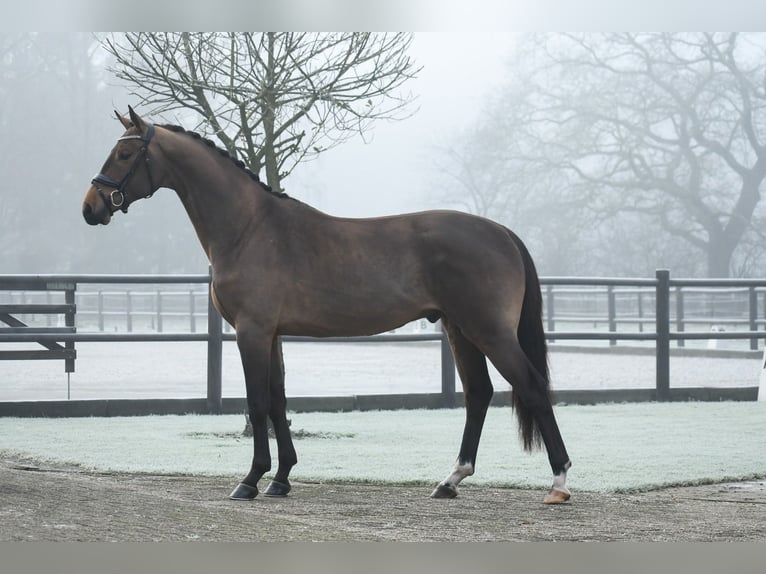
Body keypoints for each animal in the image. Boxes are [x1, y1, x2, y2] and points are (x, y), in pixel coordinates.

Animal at [85, 107, 576, 504]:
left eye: (124, 155)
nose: (91, 207)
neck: (249, 227)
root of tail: (502, 232)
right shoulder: (272, 334)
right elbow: (279, 400)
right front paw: (281, 479)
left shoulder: (251, 330)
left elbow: (257, 403)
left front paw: (250, 480)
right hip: (460, 329)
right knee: (478, 394)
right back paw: (449, 481)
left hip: (488, 331)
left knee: (532, 386)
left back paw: (558, 483)